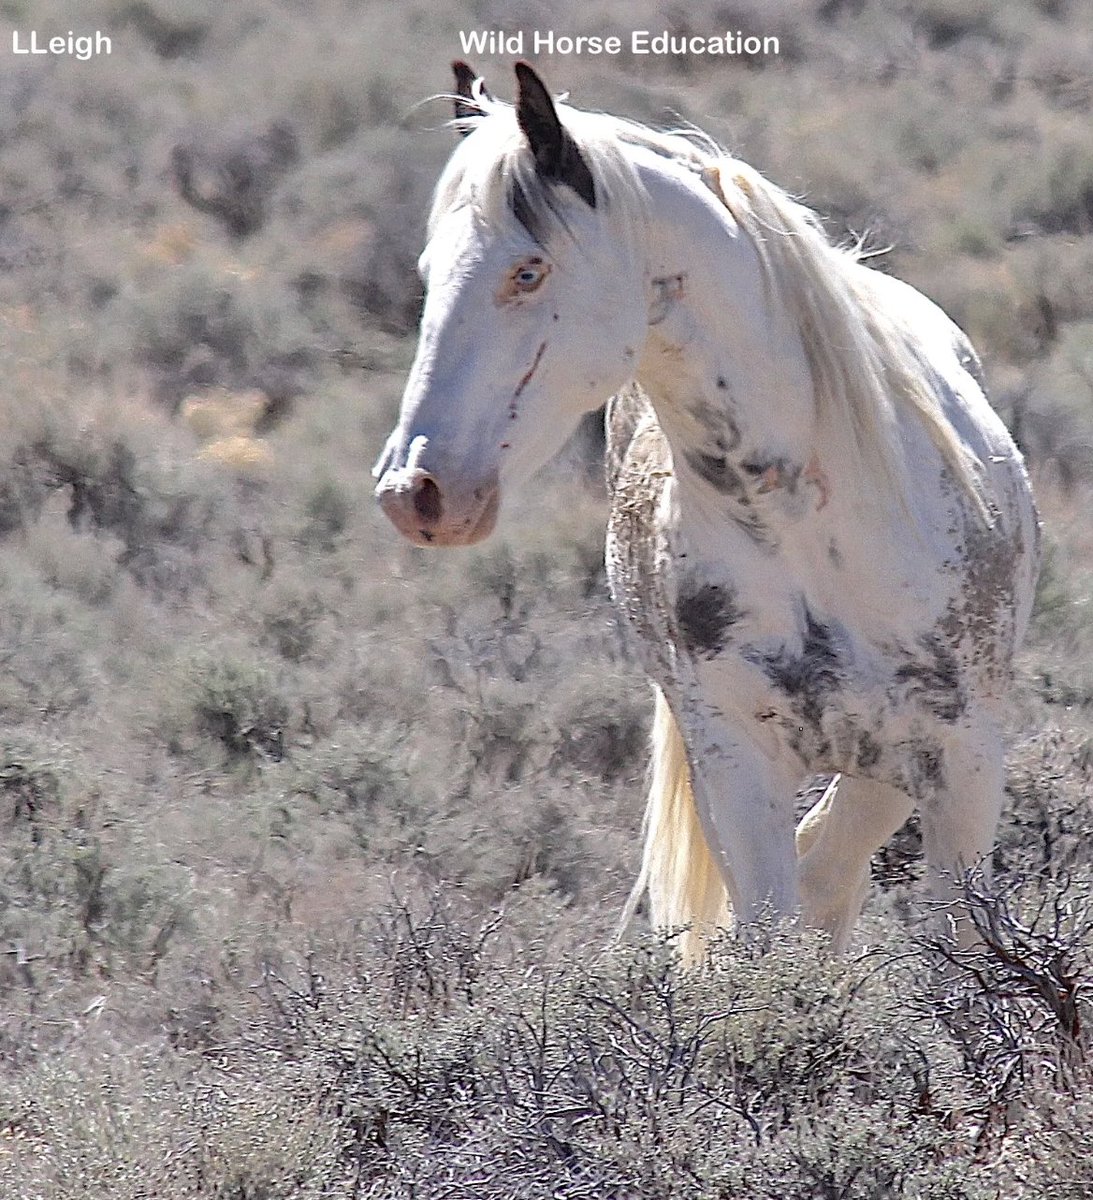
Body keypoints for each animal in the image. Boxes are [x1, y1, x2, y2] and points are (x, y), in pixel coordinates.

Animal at [376, 63, 1041, 955]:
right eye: (427, 270)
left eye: (527, 271)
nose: (414, 491)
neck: (810, 534)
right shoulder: (736, 766)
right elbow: (774, 947)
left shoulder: (960, 761)